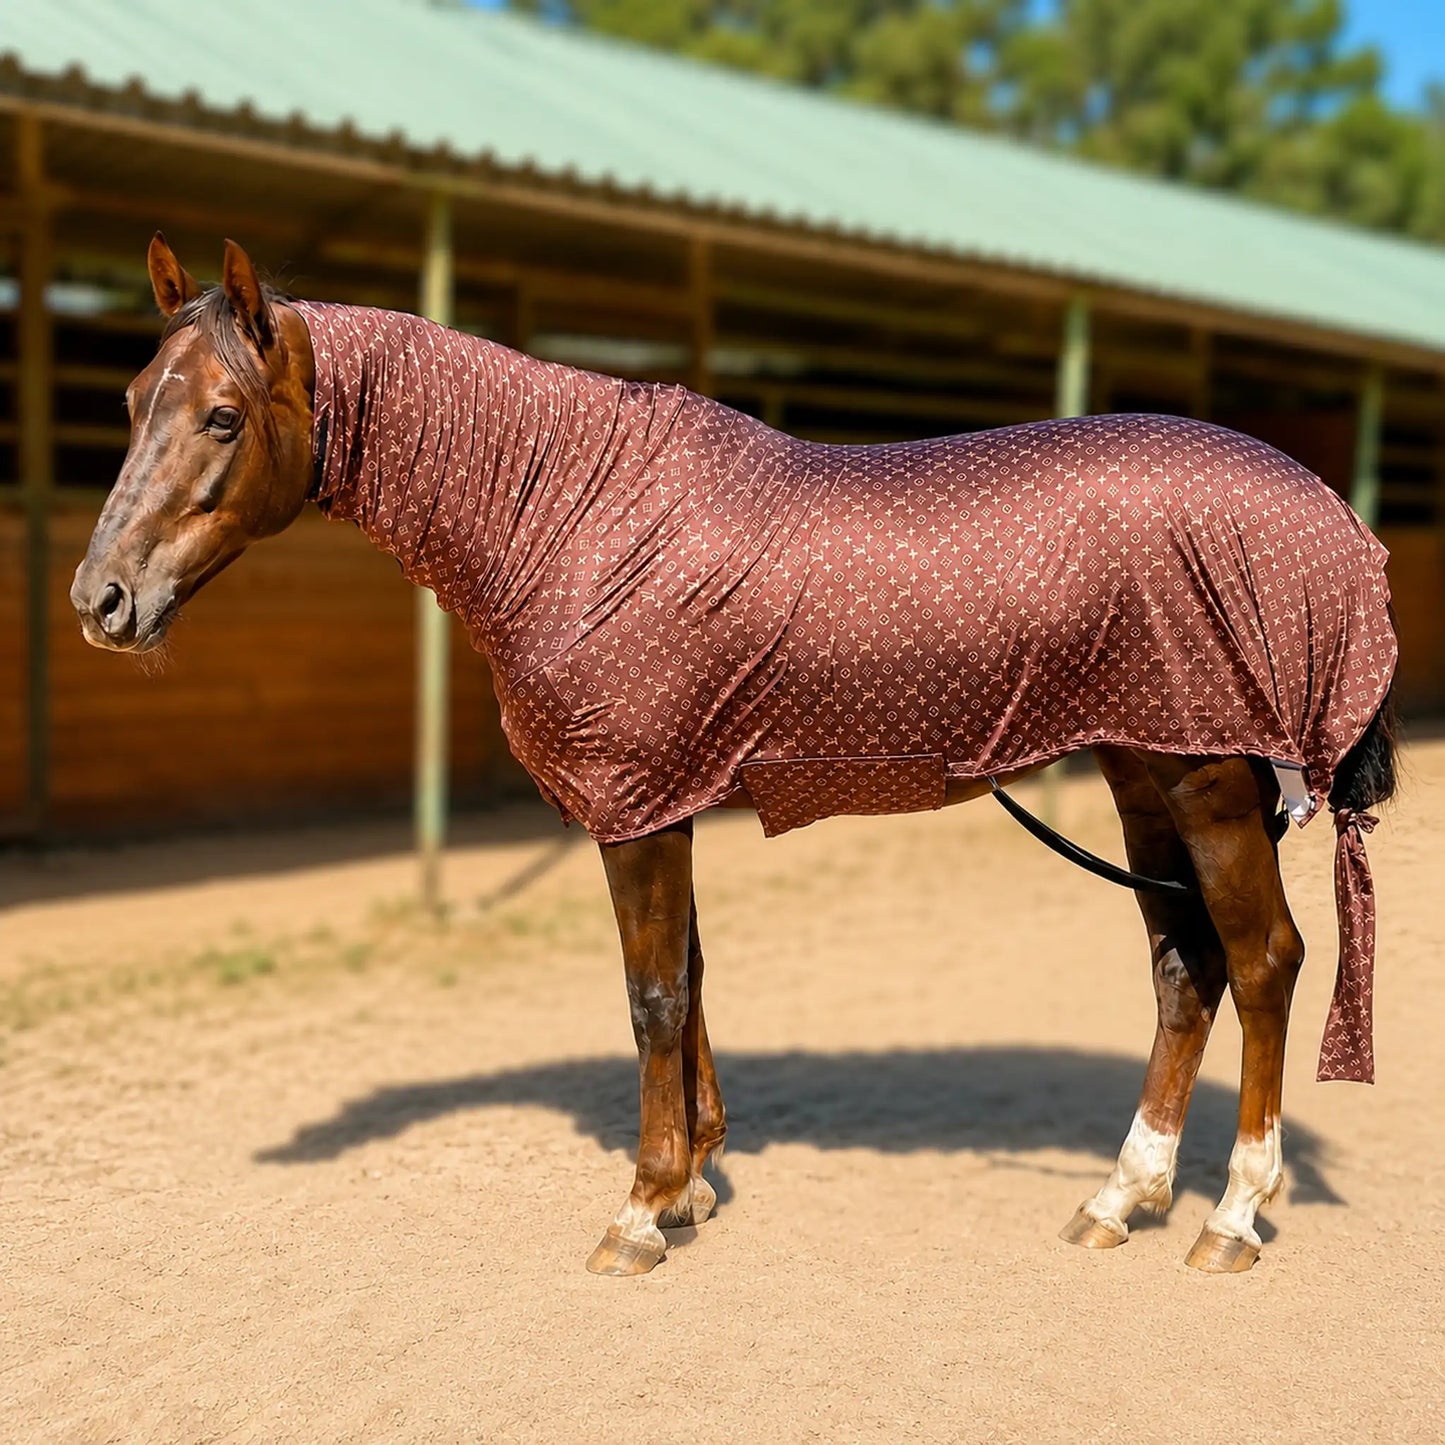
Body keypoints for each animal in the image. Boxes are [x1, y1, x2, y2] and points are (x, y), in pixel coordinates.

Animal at [72, 235, 1398, 1278]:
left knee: (1262, 962)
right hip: (1139, 772)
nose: (102, 599)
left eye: (223, 414)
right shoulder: (668, 796)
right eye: (133, 399)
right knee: (1183, 968)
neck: (568, 513)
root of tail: (1333, 520)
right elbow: (694, 979)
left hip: (1206, 782)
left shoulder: (635, 810)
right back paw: (1121, 1194)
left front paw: (640, 1207)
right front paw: (693, 1185)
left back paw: (1228, 1215)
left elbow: (652, 996)